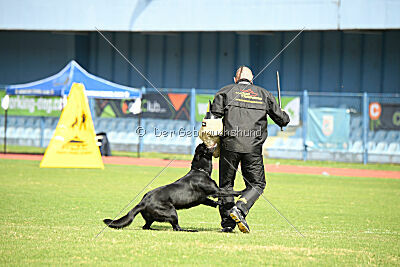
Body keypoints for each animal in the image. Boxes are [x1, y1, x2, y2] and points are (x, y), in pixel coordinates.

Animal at [104, 143, 241, 231]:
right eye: (204, 146)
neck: (200, 170)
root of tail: (142, 202)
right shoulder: (215, 191)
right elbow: (228, 191)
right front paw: (241, 191)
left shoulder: (202, 199)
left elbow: (212, 201)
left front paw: (221, 204)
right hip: (172, 212)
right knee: (176, 228)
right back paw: (189, 230)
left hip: (154, 216)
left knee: (146, 226)